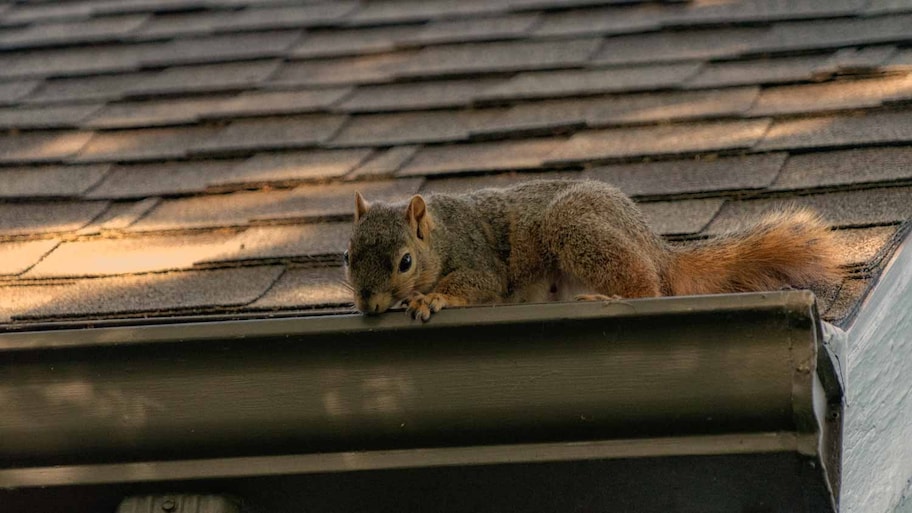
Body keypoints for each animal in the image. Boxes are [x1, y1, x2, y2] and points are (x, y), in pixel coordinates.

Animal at [346, 178, 844, 318]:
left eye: (405, 262)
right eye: (348, 256)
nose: (368, 305)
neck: (442, 234)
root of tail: (656, 247)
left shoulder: (476, 257)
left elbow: (478, 282)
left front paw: (430, 298)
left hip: (575, 226)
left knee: (647, 288)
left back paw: (609, 296)